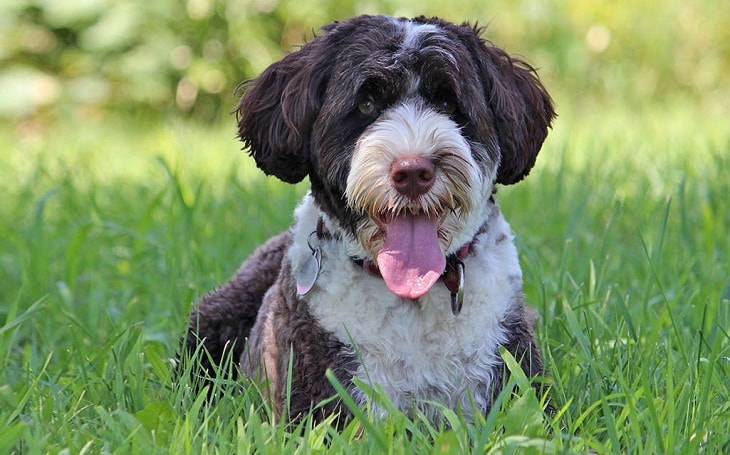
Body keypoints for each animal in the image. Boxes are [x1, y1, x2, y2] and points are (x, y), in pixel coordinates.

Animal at [181, 15, 552, 428]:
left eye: (447, 101)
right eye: (367, 103)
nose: (413, 171)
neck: (411, 299)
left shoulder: (513, 377)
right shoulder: (320, 402)